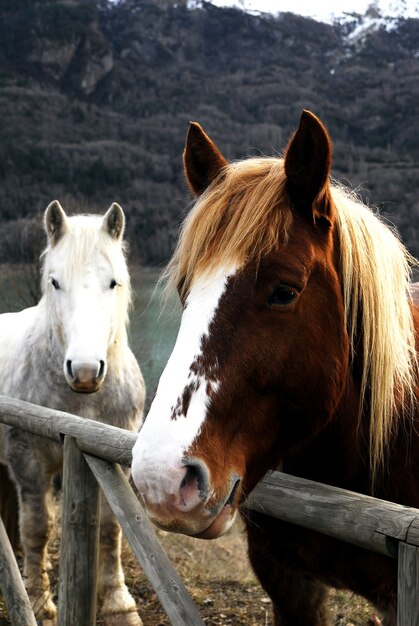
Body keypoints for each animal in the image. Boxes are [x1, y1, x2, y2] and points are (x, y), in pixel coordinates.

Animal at [0, 200, 146, 624]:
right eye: (54, 282)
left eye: (113, 282)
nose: (83, 371)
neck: (80, 402)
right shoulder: (28, 464)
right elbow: (38, 528)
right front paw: (37, 602)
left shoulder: (109, 461)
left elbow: (110, 529)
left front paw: (118, 603)